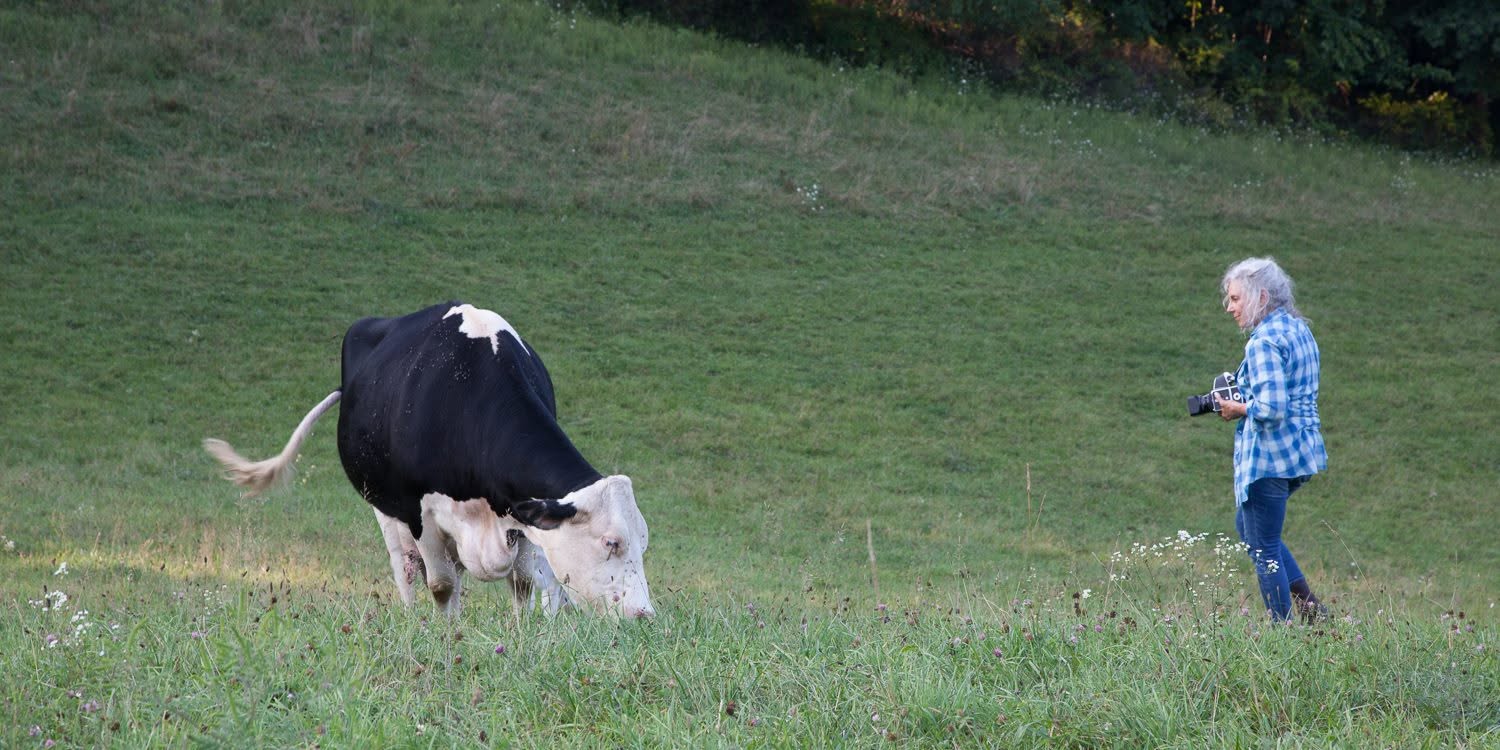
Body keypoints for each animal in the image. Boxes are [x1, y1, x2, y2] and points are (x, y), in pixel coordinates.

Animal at [203, 302, 654, 619]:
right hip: (383, 505)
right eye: (611, 542)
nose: (644, 615)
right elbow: (440, 585)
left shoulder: (520, 514)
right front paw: (447, 635)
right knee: (406, 567)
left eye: (644, 541)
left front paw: (522, 634)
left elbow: (523, 582)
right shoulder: (418, 509)